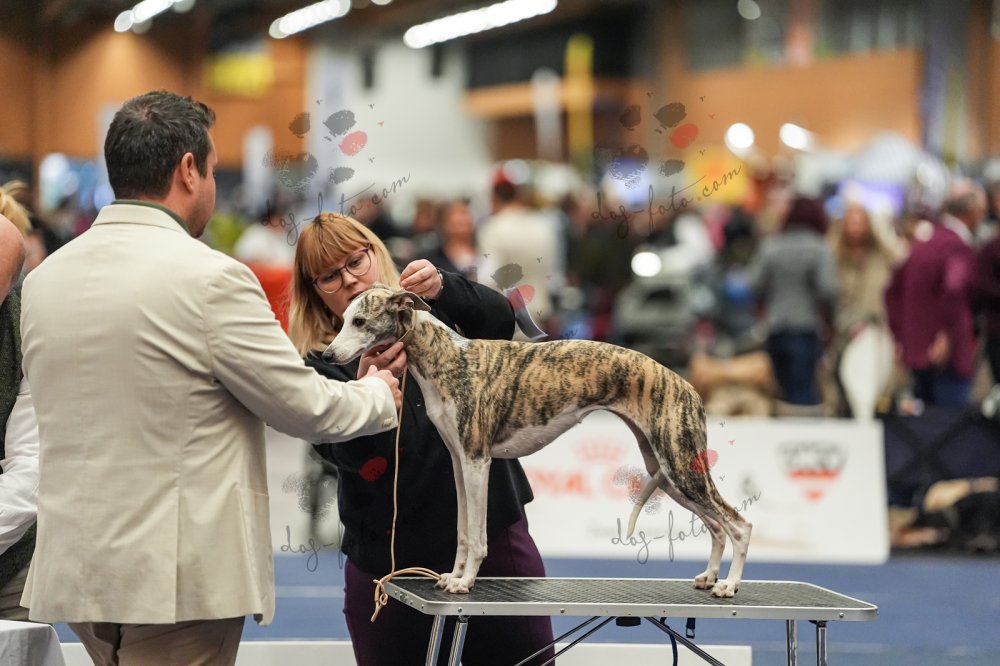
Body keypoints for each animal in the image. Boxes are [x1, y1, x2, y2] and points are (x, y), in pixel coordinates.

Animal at [324, 285, 752, 597]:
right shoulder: (459, 463)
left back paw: (729, 585)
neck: (446, 357)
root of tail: (687, 385)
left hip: (680, 466)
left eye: (360, 320)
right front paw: (452, 576)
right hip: (667, 468)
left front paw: (466, 582)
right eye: (343, 319)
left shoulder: (478, 460)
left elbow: (477, 535)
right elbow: (462, 531)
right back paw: (709, 577)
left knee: (738, 523)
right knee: (716, 526)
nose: (327, 354)